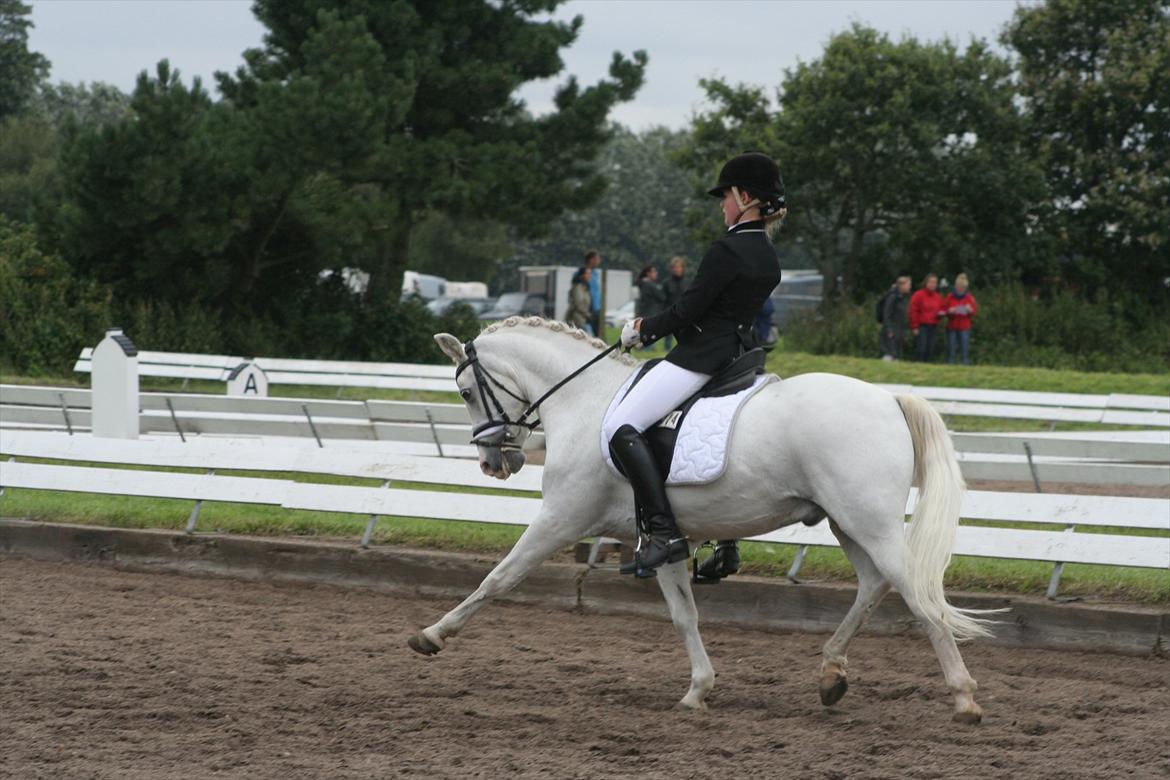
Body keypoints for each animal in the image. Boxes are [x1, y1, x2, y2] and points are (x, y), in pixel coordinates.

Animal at [409, 316, 994, 723]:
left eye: (465, 392)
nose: (494, 463)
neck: (585, 401)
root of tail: (890, 398)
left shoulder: (561, 517)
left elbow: (497, 578)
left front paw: (432, 635)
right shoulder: (663, 536)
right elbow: (683, 615)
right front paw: (698, 690)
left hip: (867, 521)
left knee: (917, 595)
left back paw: (964, 699)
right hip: (846, 522)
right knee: (875, 585)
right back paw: (831, 674)